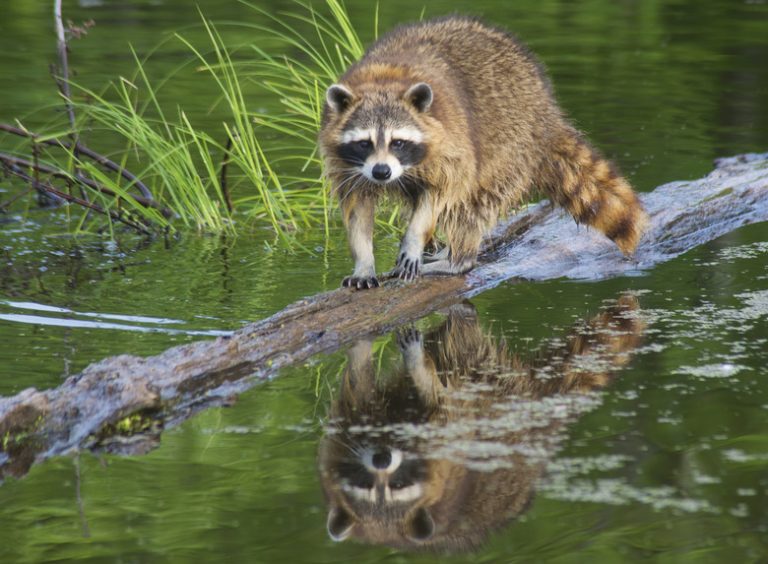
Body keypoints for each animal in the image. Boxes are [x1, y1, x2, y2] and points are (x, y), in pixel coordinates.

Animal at [316, 298, 644, 552]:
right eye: (365, 485)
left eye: (398, 486)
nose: (382, 459)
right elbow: (357, 393)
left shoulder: (448, 442)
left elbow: (445, 407)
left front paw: (421, 373)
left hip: (497, 392)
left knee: (460, 350)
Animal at [318, 15, 648, 288]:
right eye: (365, 143)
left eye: (398, 142)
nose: (382, 172)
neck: (383, 79)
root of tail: (545, 110)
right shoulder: (347, 164)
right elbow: (357, 207)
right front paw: (363, 260)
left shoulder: (452, 148)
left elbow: (441, 194)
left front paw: (413, 240)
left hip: (510, 143)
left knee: (471, 204)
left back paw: (458, 259)